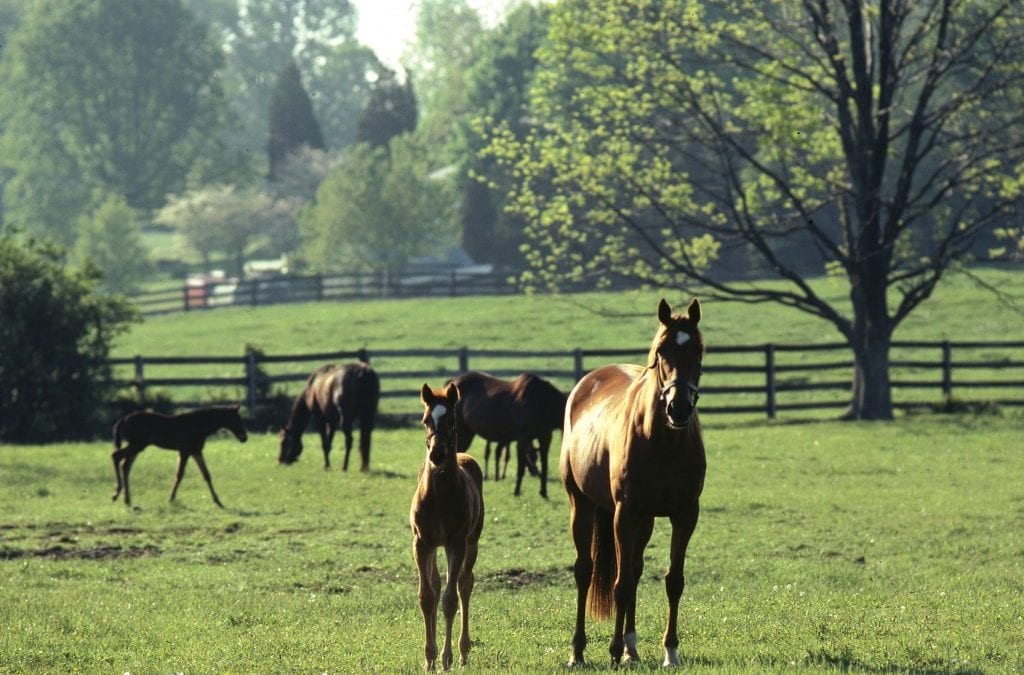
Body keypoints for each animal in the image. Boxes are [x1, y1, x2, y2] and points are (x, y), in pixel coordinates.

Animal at [111, 404, 248, 508]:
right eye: (237, 420)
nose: (244, 438)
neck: (199, 425)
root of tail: (124, 418)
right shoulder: (185, 451)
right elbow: (179, 475)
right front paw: (171, 498)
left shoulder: (196, 451)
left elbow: (206, 475)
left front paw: (218, 502)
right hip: (137, 445)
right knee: (116, 456)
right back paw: (116, 494)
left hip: (137, 446)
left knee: (125, 466)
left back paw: (127, 500)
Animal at [410, 382, 485, 671]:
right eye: (425, 420)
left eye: (452, 420)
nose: (437, 454)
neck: (439, 495)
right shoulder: (422, 542)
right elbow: (427, 596)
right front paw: (429, 658)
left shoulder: (456, 542)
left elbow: (450, 600)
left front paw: (446, 658)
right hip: (433, 546)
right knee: (436, 584)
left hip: (472, 542)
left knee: (464, 584)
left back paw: (463, 651)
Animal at [561, 298, 705, 667]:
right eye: (661, 352)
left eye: (698, 351)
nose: (678, 408)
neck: (664, 441)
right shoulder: (624, 513)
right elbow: (621, 584)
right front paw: (612, 651)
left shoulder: (685, 514)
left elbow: (673, 580)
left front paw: (670, 651)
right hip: (582, 504)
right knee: (585, 571)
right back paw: (579, 652)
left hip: (645, 519)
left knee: (636, 570)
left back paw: (632, 648)